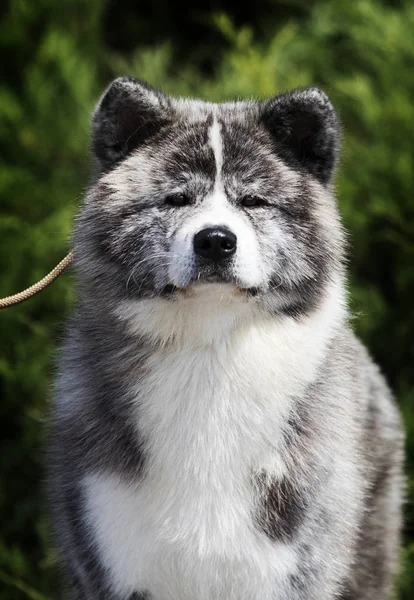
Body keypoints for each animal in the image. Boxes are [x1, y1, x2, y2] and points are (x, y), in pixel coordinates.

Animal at [47, 77, 402, 596]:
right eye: (176, 199)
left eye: (253, 200)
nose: (215, 240)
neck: (209, 353)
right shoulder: (109, 557)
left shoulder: (296, 566)